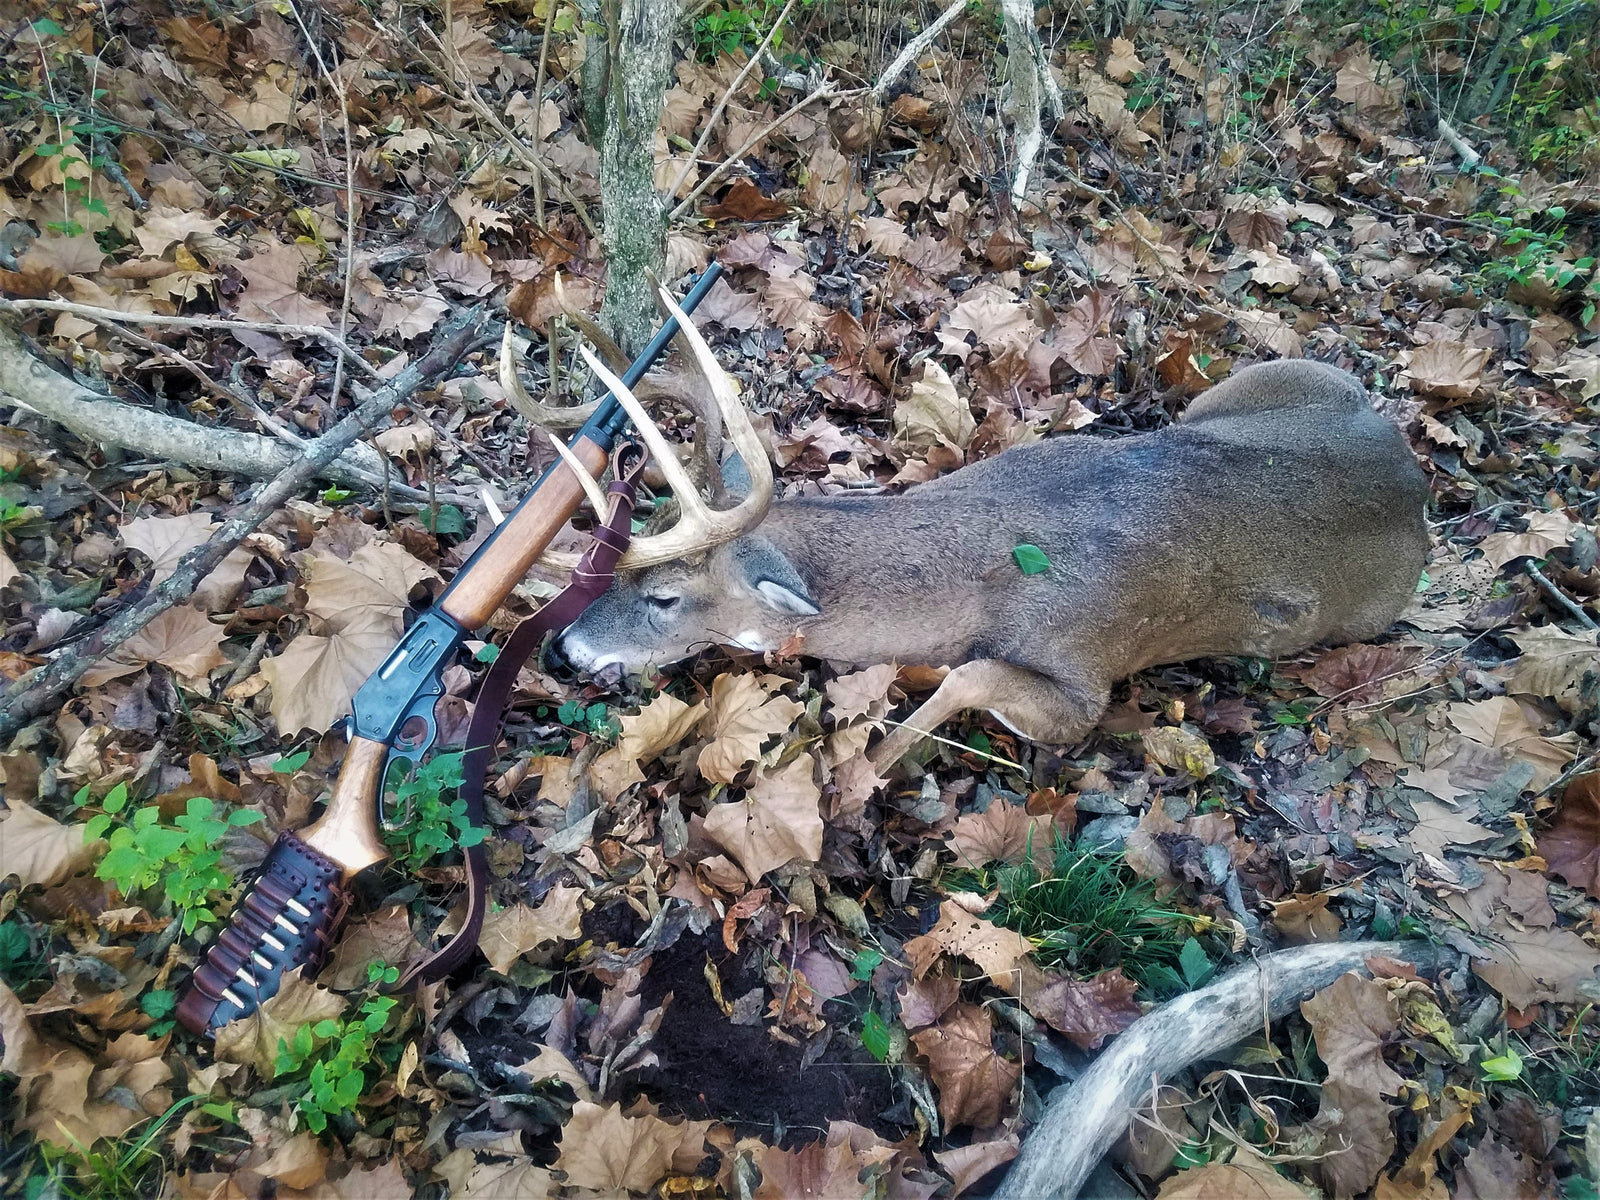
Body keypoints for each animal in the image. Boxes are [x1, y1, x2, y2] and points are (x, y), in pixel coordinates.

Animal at [518, 320, 1429, 772]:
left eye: (665, 597)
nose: (565, 648)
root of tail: (1416, 478)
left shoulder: (1085, 683)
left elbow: (968, 674)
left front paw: (867, 771)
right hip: (1259, 383)